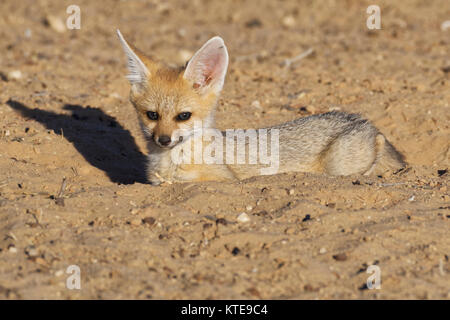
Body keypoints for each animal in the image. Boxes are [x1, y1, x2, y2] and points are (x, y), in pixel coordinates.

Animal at [116, 30, 404, 185]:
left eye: (183, 116)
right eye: (152, 115)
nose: (163, 140)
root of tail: (366, 123)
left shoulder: (224, 179)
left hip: (339, 166)